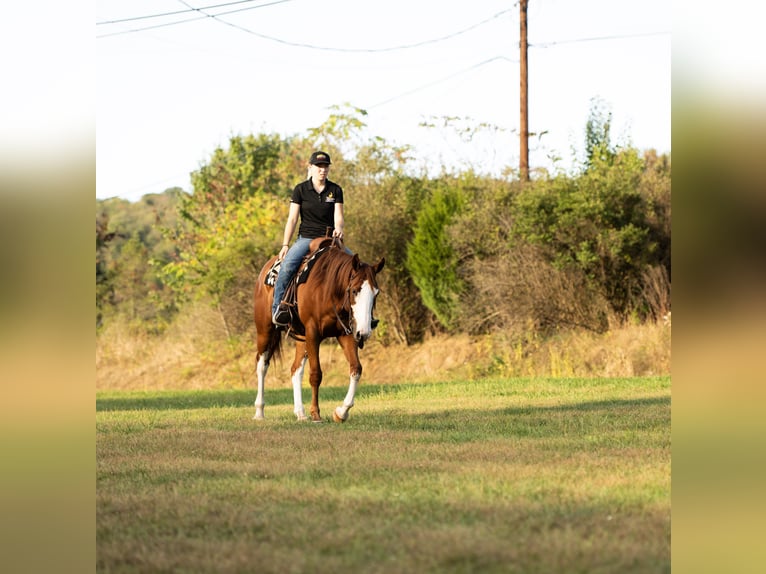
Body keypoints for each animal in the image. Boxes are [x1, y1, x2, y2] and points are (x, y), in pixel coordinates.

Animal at [253, 237, 385, 422]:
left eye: (376, 293)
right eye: (354, 290)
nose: (364, 332)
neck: (329, 288)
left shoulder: (345, 334)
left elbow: (356, 369)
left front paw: (341, 412)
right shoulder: (313, 333)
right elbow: (316, 374)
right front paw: (316, 413)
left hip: (301, 337)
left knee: (295, 370)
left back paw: (300, 413)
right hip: (265, 331)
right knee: (262, 365)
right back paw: (259, 411)